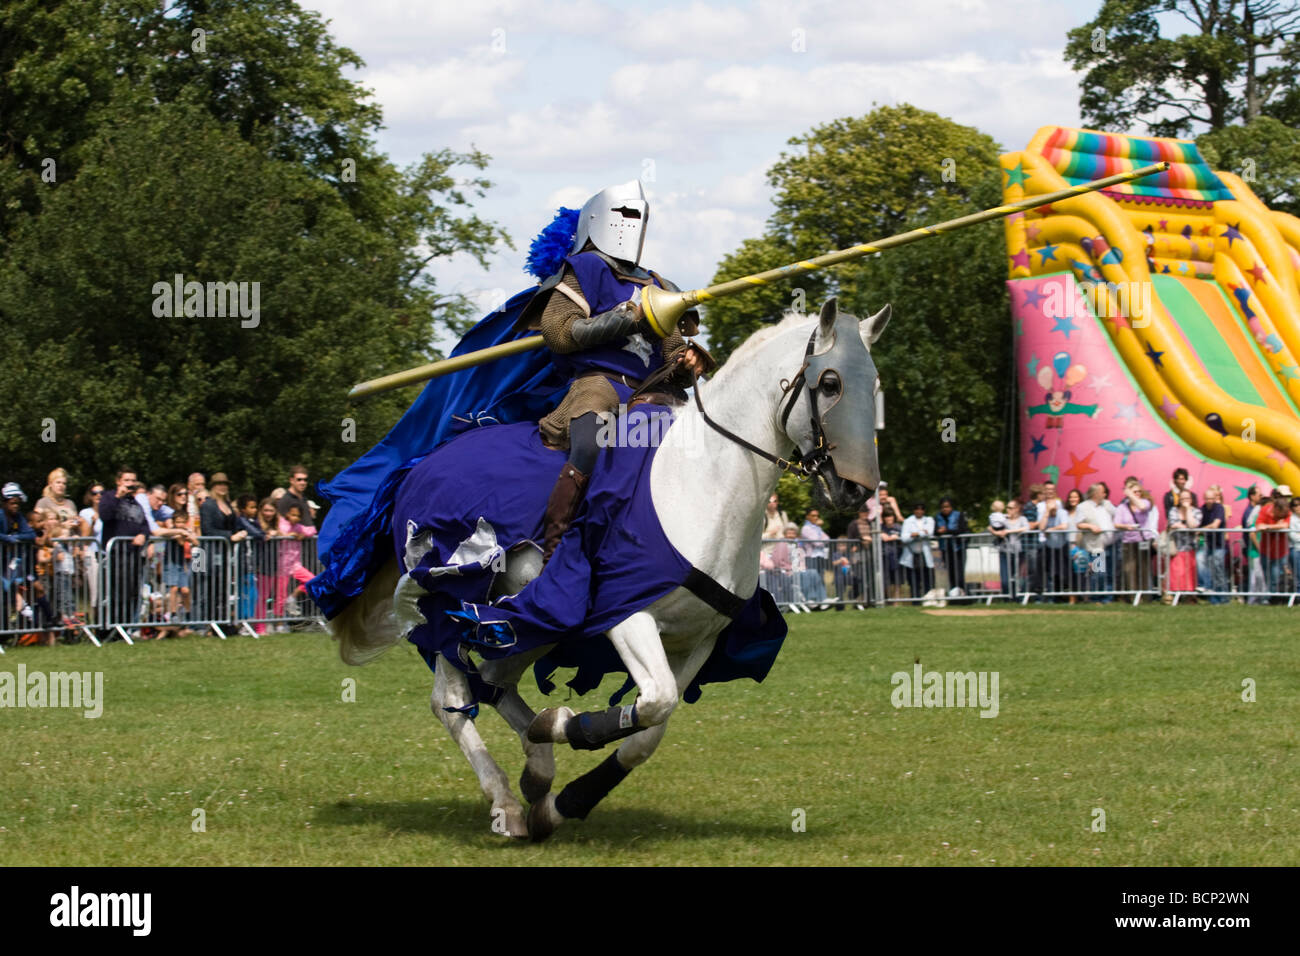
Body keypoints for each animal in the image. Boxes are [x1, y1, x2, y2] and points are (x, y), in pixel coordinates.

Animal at [330, 295, 889, 842]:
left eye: (875, 385)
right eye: (831, 383)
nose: (855, 491)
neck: (701, 482)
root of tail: (415, 468)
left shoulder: (699, 641)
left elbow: (648, 732)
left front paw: (563, 801)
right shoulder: (626, 617)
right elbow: (656, 701)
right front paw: (559, 731)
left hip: (523, 623)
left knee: (493, 680)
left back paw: (538, 768)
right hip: (446, 605)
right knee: (450, 698)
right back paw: (506, 801)